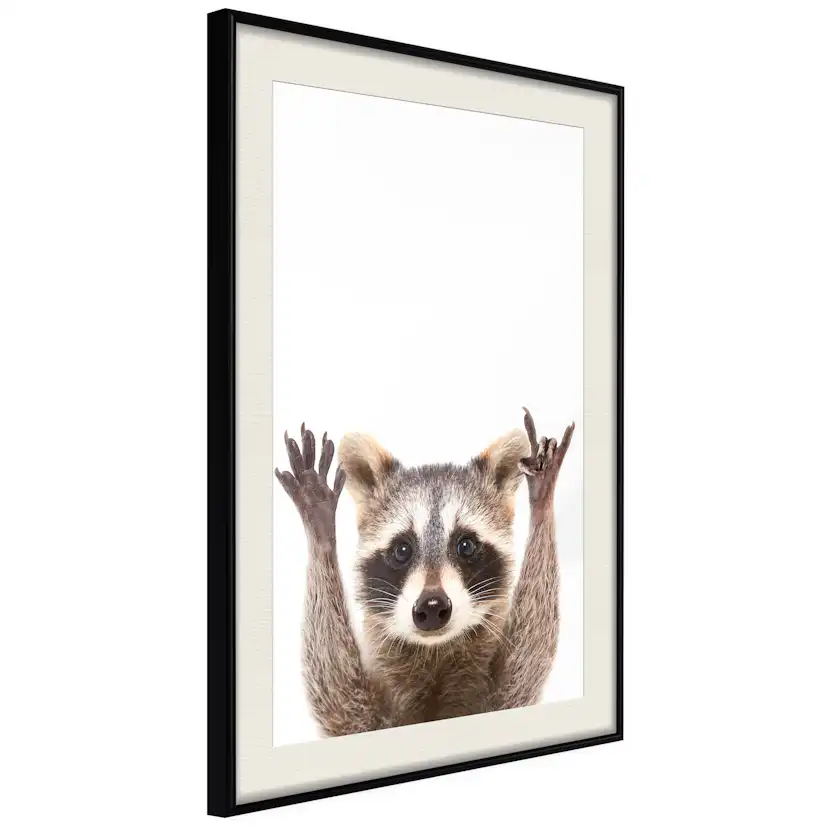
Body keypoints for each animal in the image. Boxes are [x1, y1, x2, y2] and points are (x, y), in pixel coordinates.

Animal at [275, 408, 574, 737]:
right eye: (402, 550)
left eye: (466, 545)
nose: (432, 606)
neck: (434, 653)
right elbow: (338, 697)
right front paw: (320, 529)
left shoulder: (499, 698)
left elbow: (526, 662)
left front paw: (542, 501)